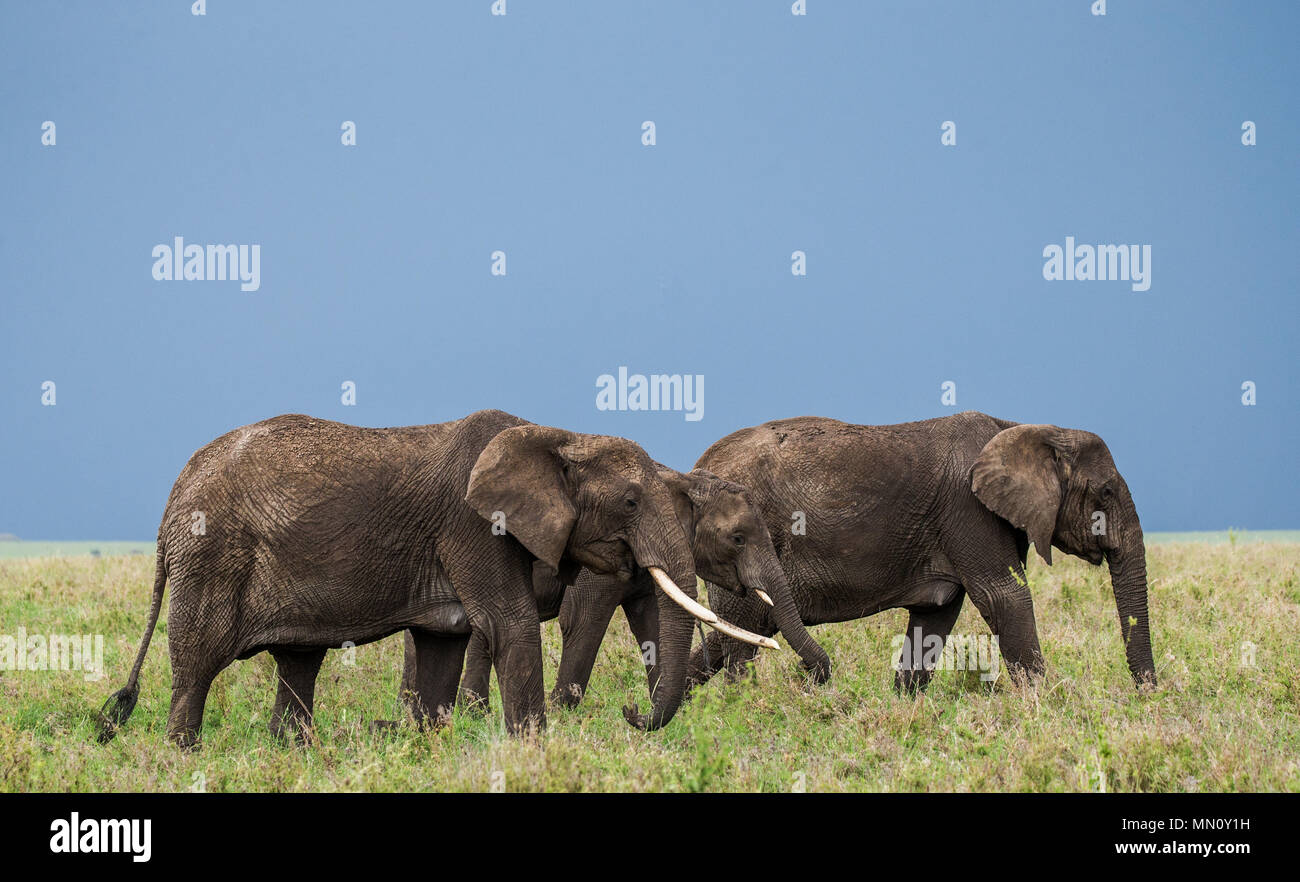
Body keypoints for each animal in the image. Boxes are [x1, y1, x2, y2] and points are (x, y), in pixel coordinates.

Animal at [96, 411, 764, 749]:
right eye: (629, 502)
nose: (630, 713)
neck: (560, 436)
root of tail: (174, 498)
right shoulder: (475, 527)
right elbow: (509, 625)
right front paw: (535, 752)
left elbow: (445, 644)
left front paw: (437, 746)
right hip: (211, 556)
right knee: (197, 665)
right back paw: (183, 755)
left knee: (298, 663)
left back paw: (294, 752)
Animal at [392, 470, 832, 733]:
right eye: (738, 539)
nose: (628, 709)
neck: (681, 480)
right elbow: (583, 618)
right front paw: (567, 715)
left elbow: (651, 624)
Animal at [686, 413, 1154, 697]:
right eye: (1105, 492)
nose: (1147, 693)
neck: (1023, 428)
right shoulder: (970, 510)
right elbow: (1005, 596)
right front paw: (1043, 707)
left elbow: (935, 618)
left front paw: (904, 703)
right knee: (740, 640)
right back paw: (741, 708)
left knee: (732, 634)